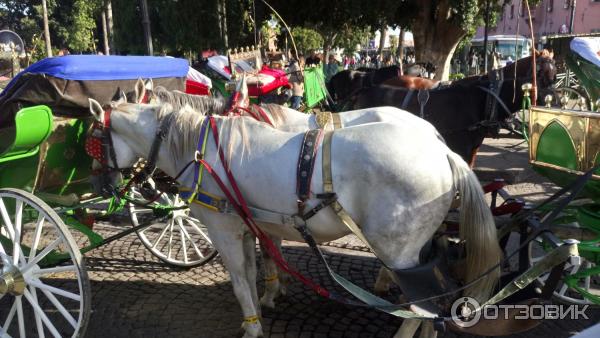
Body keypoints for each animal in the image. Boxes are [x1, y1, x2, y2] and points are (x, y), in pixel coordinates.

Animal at [88, 98, 502, 338]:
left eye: (92, 138)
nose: (102, 183)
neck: (203, 153)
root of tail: (442, 150)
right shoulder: (248, 225)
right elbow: (256, 267)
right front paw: (263, 305)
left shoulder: (224, 230)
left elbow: (240, 280)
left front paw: (253, 325)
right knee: (433, 302)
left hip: (399, 252)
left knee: (419, 306)